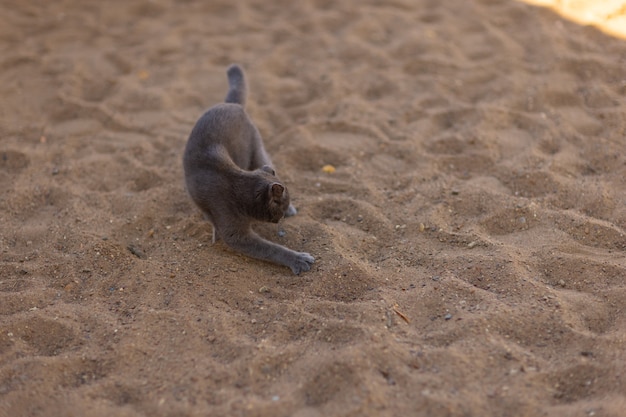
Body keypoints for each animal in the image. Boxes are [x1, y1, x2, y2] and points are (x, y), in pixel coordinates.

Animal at [183, 64, 314, 272]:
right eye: (280, 206)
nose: (282, 217)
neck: (239, 190)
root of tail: (231, 104)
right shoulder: (236, 235)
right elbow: (270, 248)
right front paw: (298, 259)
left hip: (257, 150)